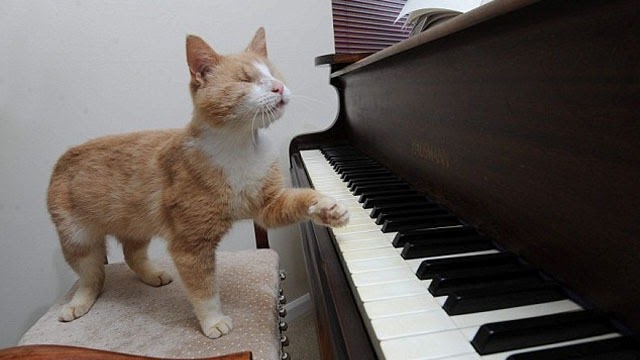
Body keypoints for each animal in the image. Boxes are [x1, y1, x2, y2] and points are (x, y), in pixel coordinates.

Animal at [45, 27, 350, 338]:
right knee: (92, 275)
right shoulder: (191, 245)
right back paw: (78, 303)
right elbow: (204, 290)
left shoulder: (268, 206)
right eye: (245, 79)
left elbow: (299, 199)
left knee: (132, 254)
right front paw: (213, 321)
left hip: (136, 225)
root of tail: (66, 155)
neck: (240, 147)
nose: (278, 87)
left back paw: (153, 275)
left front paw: (328, 207)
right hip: (77, 238)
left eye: (274, 73)